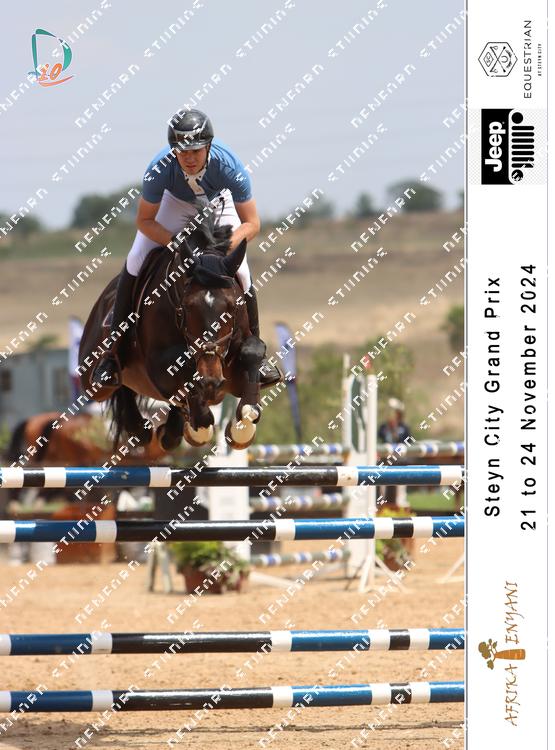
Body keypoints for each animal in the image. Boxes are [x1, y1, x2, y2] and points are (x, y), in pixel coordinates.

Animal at [79, 218, 266, 452]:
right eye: (187, 307)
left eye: (232, 307)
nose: (211, 379)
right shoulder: (159, 366)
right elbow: (184, 368)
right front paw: (200, 426)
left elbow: (253, 351)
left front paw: (243, 428)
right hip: (92, 380)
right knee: (119, 383)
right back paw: (142, 428)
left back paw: (170, 431)